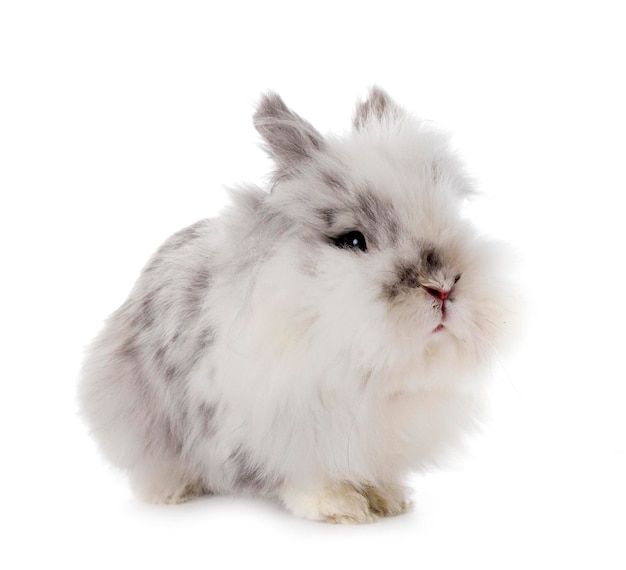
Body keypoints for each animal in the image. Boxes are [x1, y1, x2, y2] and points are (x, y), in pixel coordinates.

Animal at [78, 86, 516, 520]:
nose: (442, 287)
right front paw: (340, 508)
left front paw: (388, 500)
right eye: (353, 240)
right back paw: (171, 492)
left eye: (450, 216)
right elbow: (309, 476)